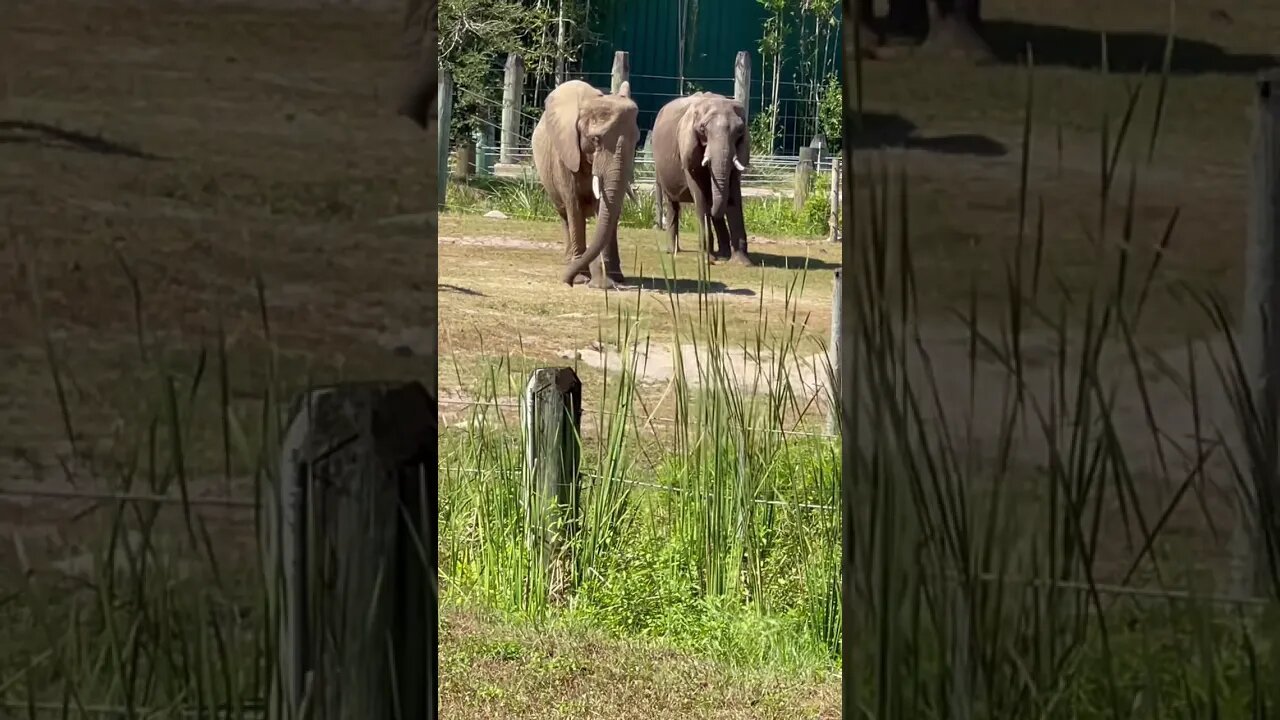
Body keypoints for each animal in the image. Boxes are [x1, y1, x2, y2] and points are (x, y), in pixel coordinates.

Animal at [529, 79, 640, 288]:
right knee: (565, 215)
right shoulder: (565, 153)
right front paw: (581, 279)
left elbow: (604, 208)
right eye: (595, 139)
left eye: (637, 140)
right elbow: (574, 206)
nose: (567, 281)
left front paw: (606, 282)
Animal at [650, 90, 747, 265]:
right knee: (672, 204)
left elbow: (734, 193)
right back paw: (673, 251)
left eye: (740, 130)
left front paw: (742, 262)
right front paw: (708, 259)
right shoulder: (688, 147)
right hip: (661, 170)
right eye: (702, 129)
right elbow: (699, 193)